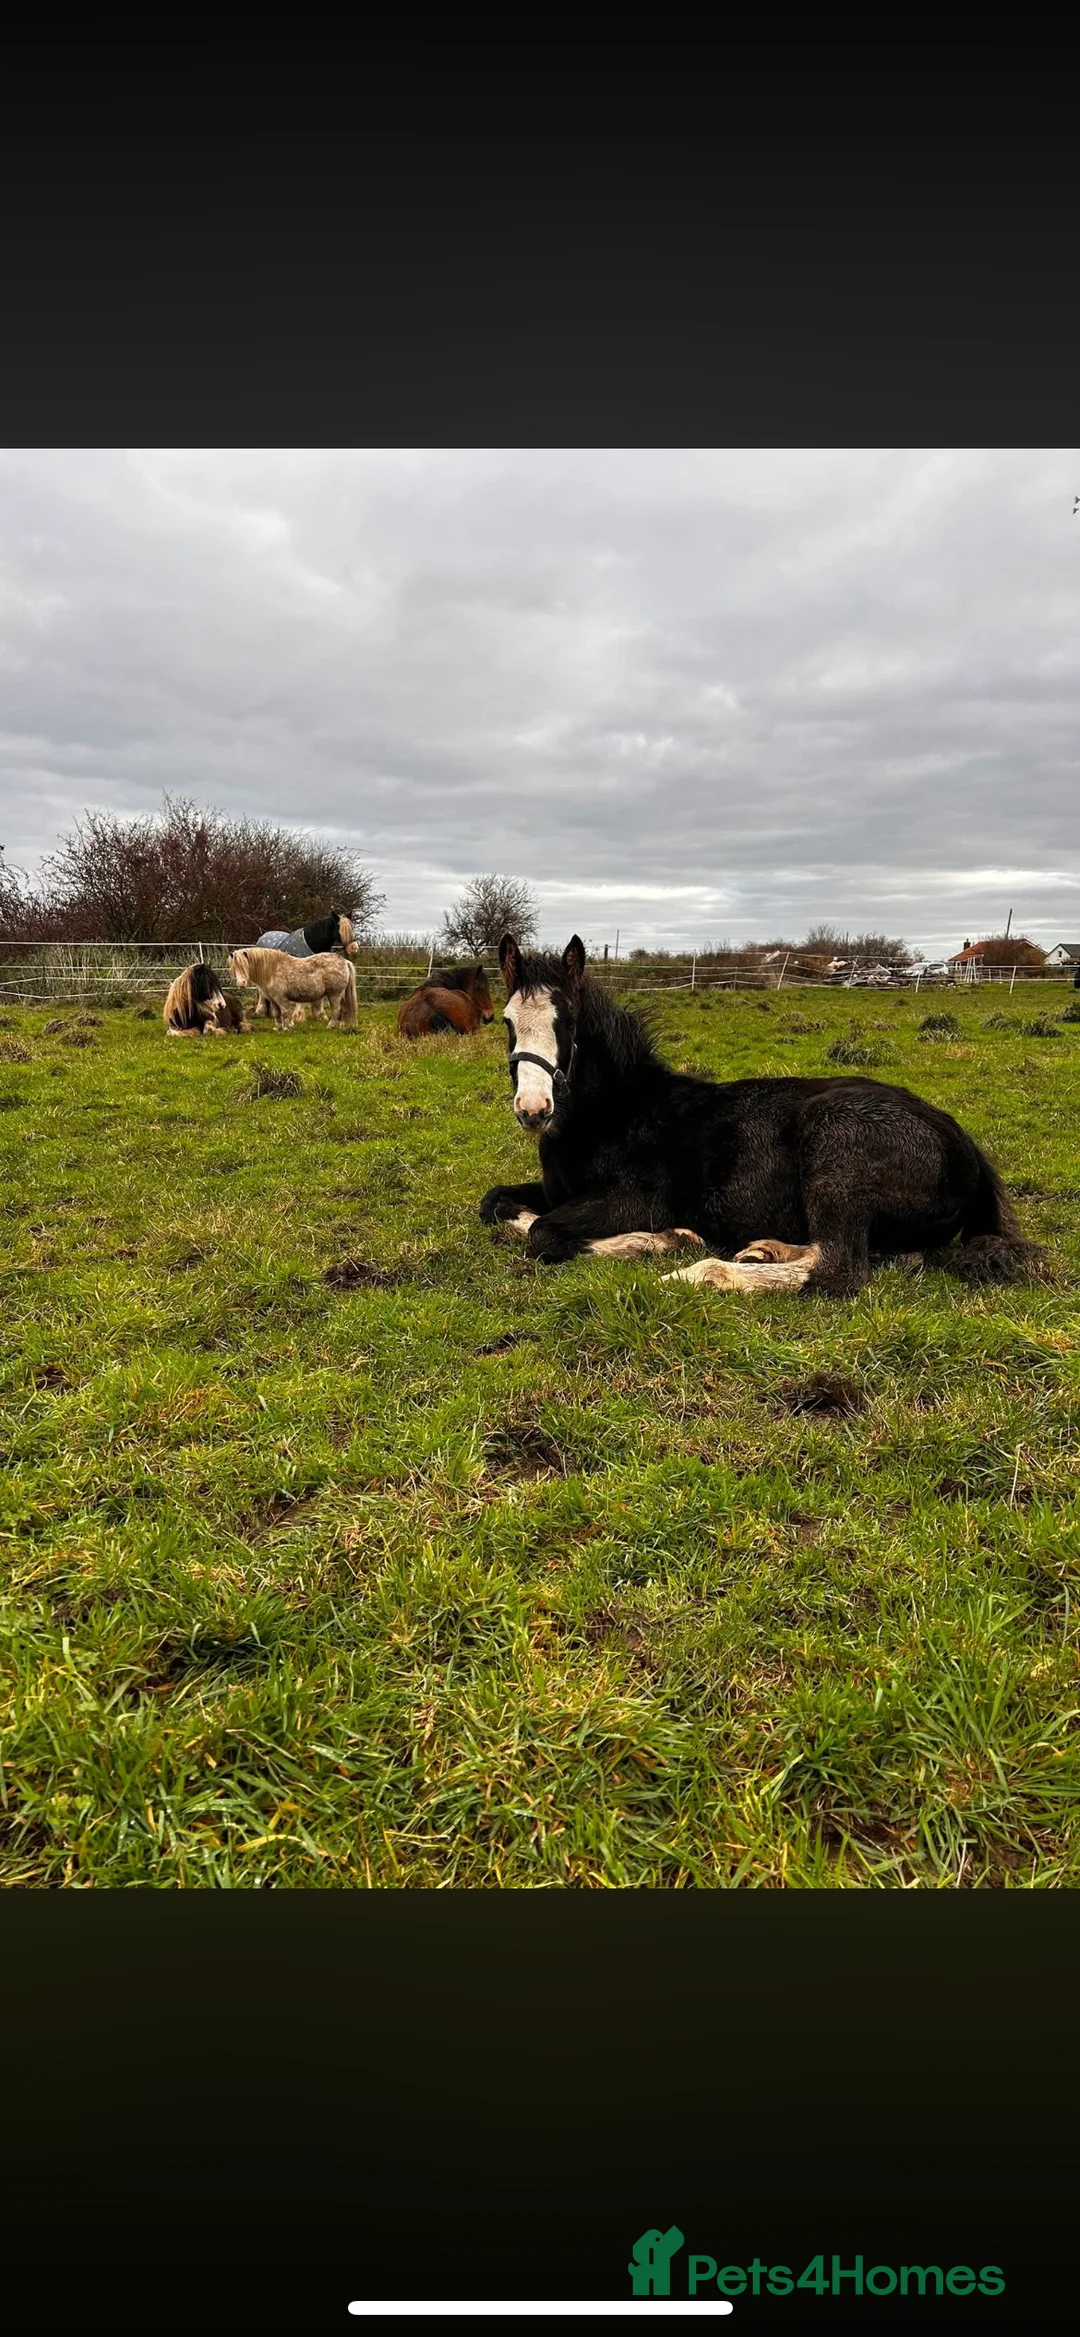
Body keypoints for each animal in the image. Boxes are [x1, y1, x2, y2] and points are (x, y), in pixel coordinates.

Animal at [227, 947, 358, 1029]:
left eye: (245, 966)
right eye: (234, 967)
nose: (241, 983)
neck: (272, 970)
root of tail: (345, 961)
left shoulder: (281, 998)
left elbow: (285, 1012)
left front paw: (288, 1027)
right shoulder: (273, 999)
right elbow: (277, 1013)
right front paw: (278, 1028)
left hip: (335, 994)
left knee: (336, 1009)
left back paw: (330, 1026)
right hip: (340, 995)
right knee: (344, 1009)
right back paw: (342, 1026)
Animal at [478, 933, 1044, 1299]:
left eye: (568, 1021)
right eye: (506, 1021)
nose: (533, 1109)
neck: (615, 1113)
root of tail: (965, 1145)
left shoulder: (631, 1200)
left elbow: (543, 1234)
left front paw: (661, 1240)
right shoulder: (557, 1192)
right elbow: (496, 1205)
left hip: (838, 1158)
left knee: (841, 1270)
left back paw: (706, 1273)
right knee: (881, 1257)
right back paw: (763, 1250)